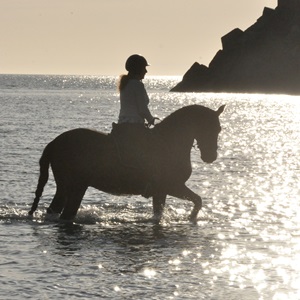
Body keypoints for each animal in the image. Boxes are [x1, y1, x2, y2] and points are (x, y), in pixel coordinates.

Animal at [28, 104, 225, 224]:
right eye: (210, 128)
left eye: (219, 129)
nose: (210, 156)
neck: (169, 142)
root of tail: (55, 142)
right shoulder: (171, 186)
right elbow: (197, 201)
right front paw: (191, 218)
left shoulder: (162, 191)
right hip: (77, 187)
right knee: (67, 214)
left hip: (65, 188)